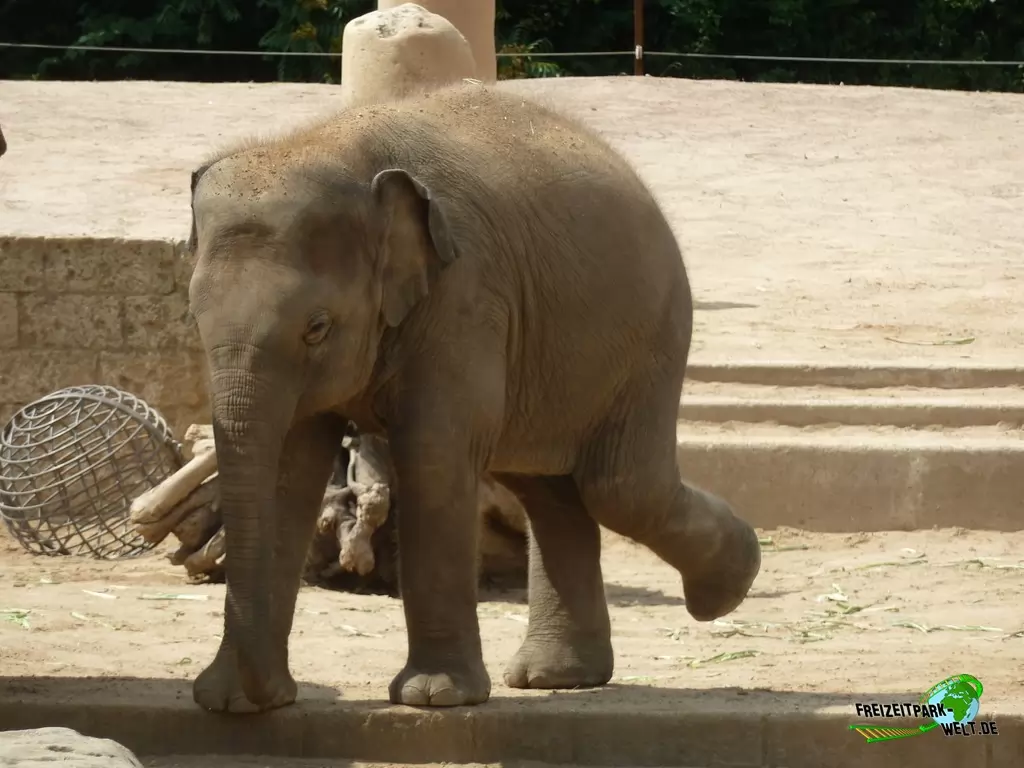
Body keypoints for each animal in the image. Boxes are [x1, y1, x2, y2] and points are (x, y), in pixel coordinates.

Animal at [185, 81, 762, 713]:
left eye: (317, 327)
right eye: (193, 317)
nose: (263, 691)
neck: (331, 147)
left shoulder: (465, 293)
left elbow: (434, 455)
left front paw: (433, 697)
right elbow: (288, 471)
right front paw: (232, 703)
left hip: (650, 340)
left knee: (618, 488)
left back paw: (728, 587)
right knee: (551, 491)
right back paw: (557, 678)